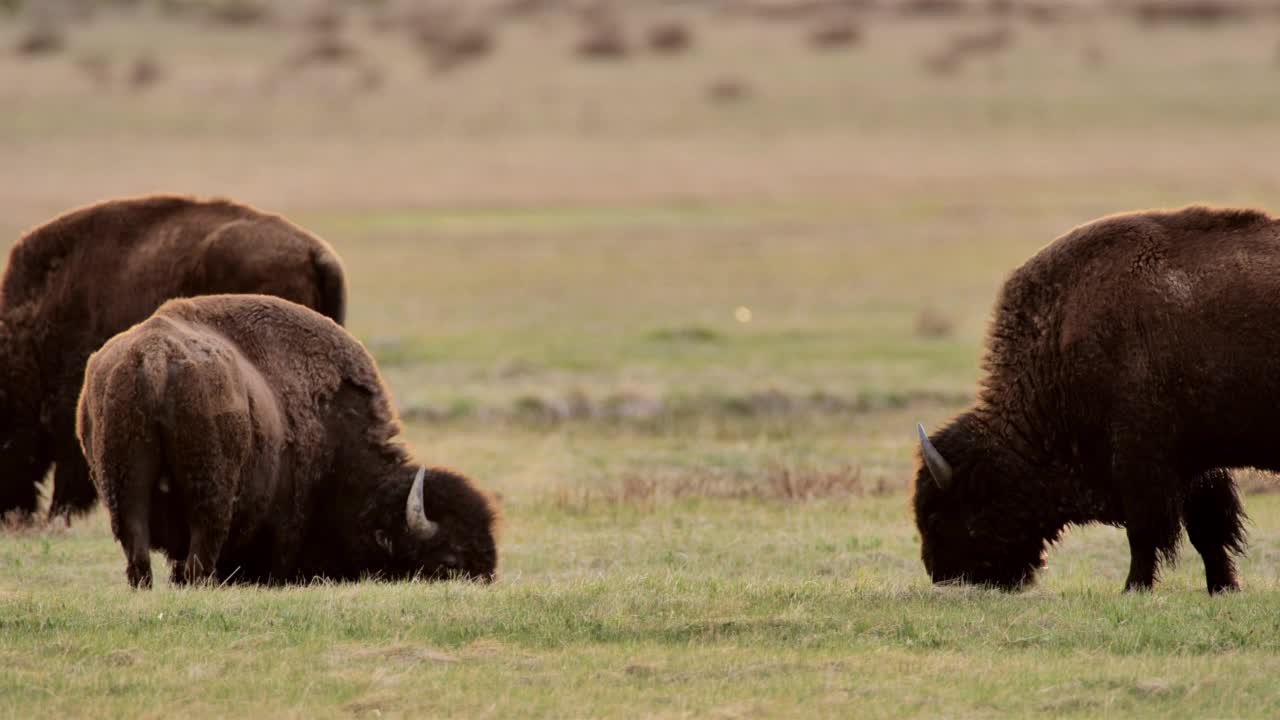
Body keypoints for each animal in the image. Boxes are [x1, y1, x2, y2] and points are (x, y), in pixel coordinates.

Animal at [73, 294, 494, 586]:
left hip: (124, 490)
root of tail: (155, 356)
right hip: (209, 497)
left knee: (139, 560)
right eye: (449, 562)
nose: (486, 581)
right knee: (197, 561)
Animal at [911, 204, 1280, 591]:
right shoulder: (1195, 464)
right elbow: (1207, 531)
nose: (941, 575)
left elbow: (1145, 532)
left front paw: (1133, 587)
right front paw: (1223, 586)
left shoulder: (1140, 460)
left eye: (938, 514)